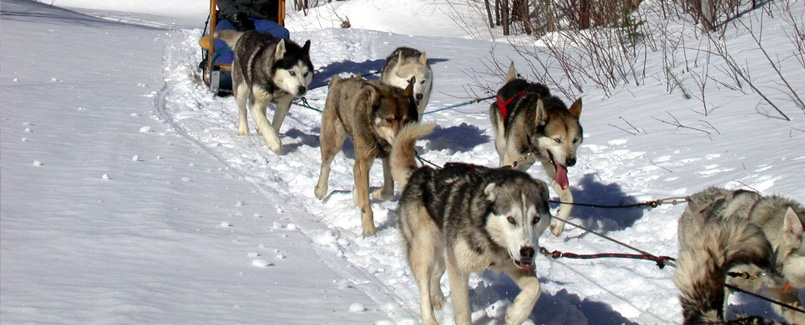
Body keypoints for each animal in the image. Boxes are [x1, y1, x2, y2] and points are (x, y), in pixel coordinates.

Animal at [312, 75, 418, 235]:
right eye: (389, 119)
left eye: (406, 120)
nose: (402, 139)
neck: (377, 136)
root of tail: (340, 80)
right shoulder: (364, 161)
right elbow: (366, 205)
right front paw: (369, 231)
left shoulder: (388, 157)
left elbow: (389, 190)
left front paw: (377, 193)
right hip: (333, 140)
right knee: (326, 165)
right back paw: (320, 190)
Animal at [390, 123, 552, 322]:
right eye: (511, 219)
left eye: (536, 219)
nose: (527, 252)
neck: (488, 235)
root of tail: (419, 174)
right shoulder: (458, 269)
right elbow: (463, 312)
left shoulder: (513, 263)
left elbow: (535, 288)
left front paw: (516, 314)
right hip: (424, 250)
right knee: (424, 289)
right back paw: (430, 318)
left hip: (443, 251)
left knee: (436, 275)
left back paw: (437, 298)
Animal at [486, 62, 580, 235]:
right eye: (557, 140)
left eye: (575, 140)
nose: (571, 161)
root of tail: (512, 82)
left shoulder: (554, 167)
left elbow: (569, 198)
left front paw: (559, 223)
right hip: (503, 146)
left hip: (525, 163)